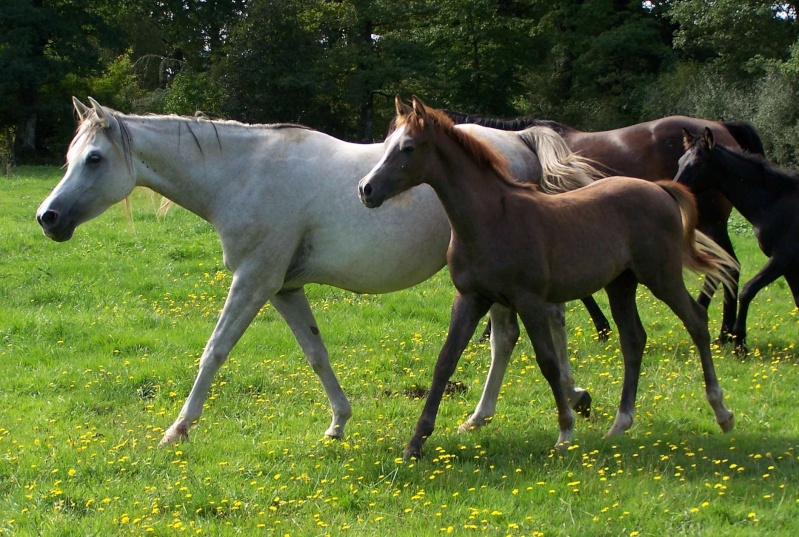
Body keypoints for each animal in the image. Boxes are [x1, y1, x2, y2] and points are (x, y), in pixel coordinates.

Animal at [37, 97, 600, 444]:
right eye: (70, 156)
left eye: (93, 159)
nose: (48, 217)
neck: (243, 174)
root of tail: (521, 140)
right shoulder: (284, 289)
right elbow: (315, 353)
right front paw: (338, 422)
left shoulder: (254, 281)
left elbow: (214, 351)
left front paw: (178, 429)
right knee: (513, 336)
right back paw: (502, 412)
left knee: (532, 329)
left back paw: (553, 403)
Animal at [680, 127, 799, 354]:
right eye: (680, 161)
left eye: (698, 163)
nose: (676, 187)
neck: (775, 201)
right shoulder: (789, 267)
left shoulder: (783, 258)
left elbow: (747, 290)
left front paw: (740, 343)